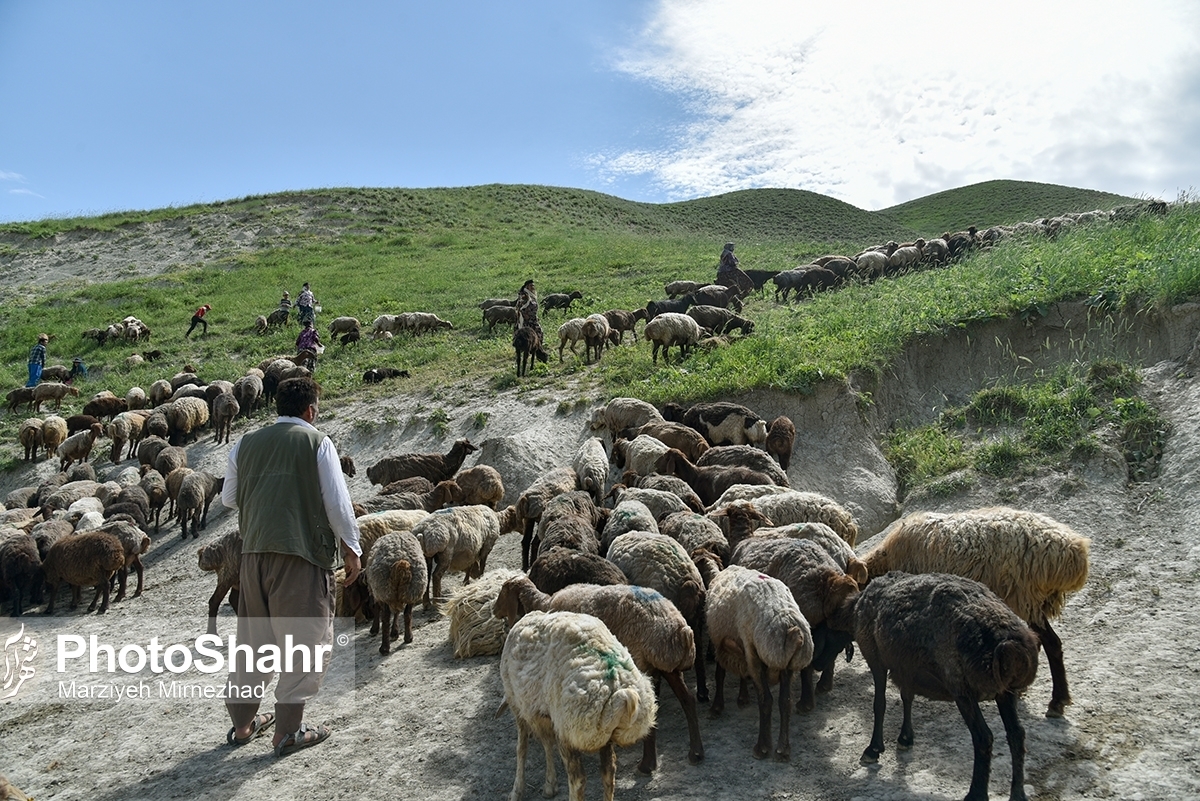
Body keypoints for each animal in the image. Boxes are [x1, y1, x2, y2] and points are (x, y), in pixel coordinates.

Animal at [496, 573, 700, 772]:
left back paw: (647, 764)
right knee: (688, 700)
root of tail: (681, 631)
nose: (494, 610)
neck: (544, 604)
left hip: (645, 662)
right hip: (669, 668)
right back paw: (696, 753)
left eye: (504, 590)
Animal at [501, 609, 662, 801]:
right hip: (601, 733)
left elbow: (523, 748)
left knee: (578, 779)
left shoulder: (520, 707)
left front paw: (518, 790)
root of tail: (620, 691)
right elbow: (545, 743)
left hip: (569, 727)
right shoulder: (541, 715)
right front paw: (550, 784)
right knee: (608, 772)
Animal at [700, 561, 816, 762]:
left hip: (759, 653)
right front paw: (742, 697)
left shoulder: (721, 643)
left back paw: (762, 747)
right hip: (785, 663)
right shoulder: (739, 647)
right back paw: (783, 749)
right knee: (785, 701)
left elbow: (719, 674)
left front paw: (716, 707)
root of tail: (792, 630)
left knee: (766, 700)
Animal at [854, 573, 1041, 801]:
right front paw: (906, 737)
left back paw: (976, 793)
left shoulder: (874, 656)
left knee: (983, 737)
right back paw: (1018, 793)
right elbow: (907, 697)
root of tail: (1010, 646)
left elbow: (879, 704)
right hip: (1006, 692)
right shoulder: (906, 668)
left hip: (962, 689)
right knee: (1016, 734)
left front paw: (873, 748)